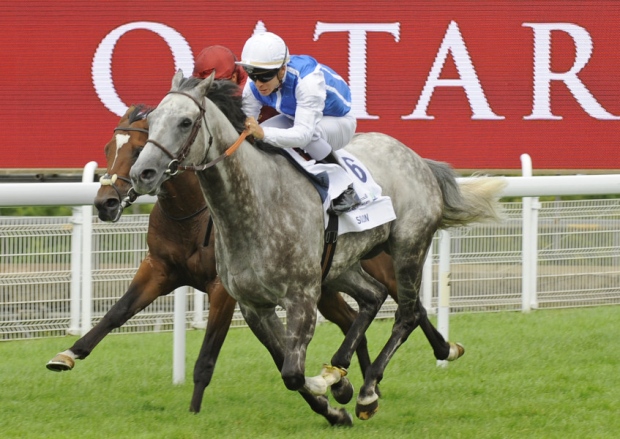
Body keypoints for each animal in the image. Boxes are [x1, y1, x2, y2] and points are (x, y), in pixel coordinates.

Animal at [46, 105, 462, 414]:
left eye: (137, 147)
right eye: (107, 148)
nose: (105, 203)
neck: (194, 214)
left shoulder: (224, 290)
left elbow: (208, 355)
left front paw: (194, 410)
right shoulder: (160, 270)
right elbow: (117, 313)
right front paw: (67, 354)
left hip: (390, 257)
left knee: (410, 309)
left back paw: (430, 356)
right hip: (333, 275)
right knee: (361, 310)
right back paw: (351, 379)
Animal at [130, 71, 504, 426]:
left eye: (185, 122)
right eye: (152, 120)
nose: (141, 173)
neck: (255, 205)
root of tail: (417, 159)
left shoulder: (301, 297)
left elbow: (293, 373)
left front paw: (334, 386)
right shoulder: (253, 306)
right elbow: (284, 362)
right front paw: (335, 406)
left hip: (408, 246)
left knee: (407, 314)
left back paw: (368, 390)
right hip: (341, 264)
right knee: (373, 296)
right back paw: (348, 367)